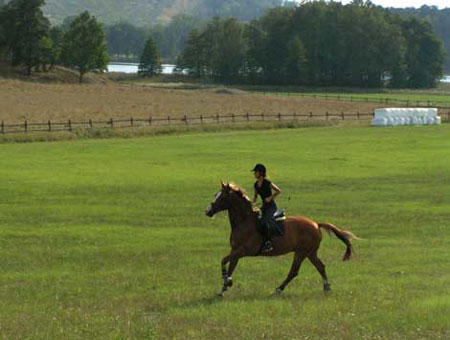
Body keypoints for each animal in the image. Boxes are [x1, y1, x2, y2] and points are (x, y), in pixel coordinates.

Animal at [205, 182, 358, 296]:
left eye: (222, 197)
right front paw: (223, 288)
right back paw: (326, 287)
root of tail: (316, 224)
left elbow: (223, 261)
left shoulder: (243, 250)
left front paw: (227, 281)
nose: (208, 211)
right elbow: (230, 266)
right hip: (310, 252)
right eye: (215, 195)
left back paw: (279, 289)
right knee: (320, 266)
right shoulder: (235, 251)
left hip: (302, 252)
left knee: (294, 271)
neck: (244, 221)